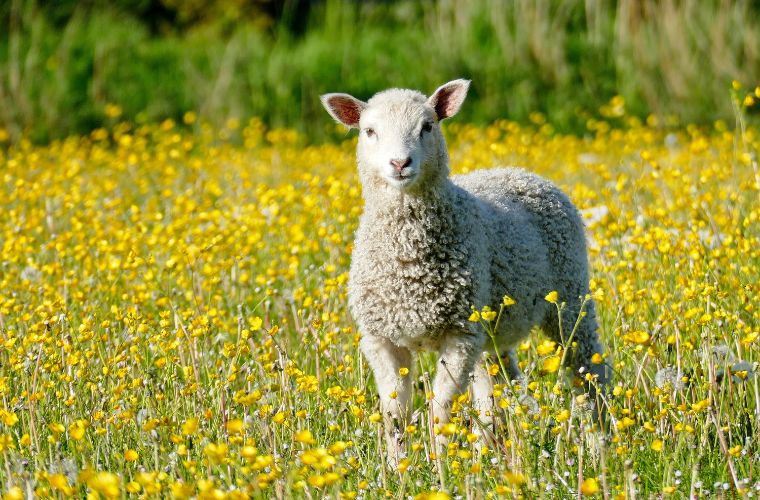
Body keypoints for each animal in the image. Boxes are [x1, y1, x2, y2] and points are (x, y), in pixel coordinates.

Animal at [321, 79, 610, 463]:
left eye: (427, 126)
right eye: (369, 131)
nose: (400, 163)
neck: (409, 263)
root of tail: (521, 172)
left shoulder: (459, 335)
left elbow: (441, 409)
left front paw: (440, 463)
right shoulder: (381, 338)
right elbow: (395, 412)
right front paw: (399, 467)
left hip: (569, 296)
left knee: (588, 371)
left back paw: (602, 444)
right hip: (492, 328)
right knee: (498, 386)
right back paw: (497, 453)